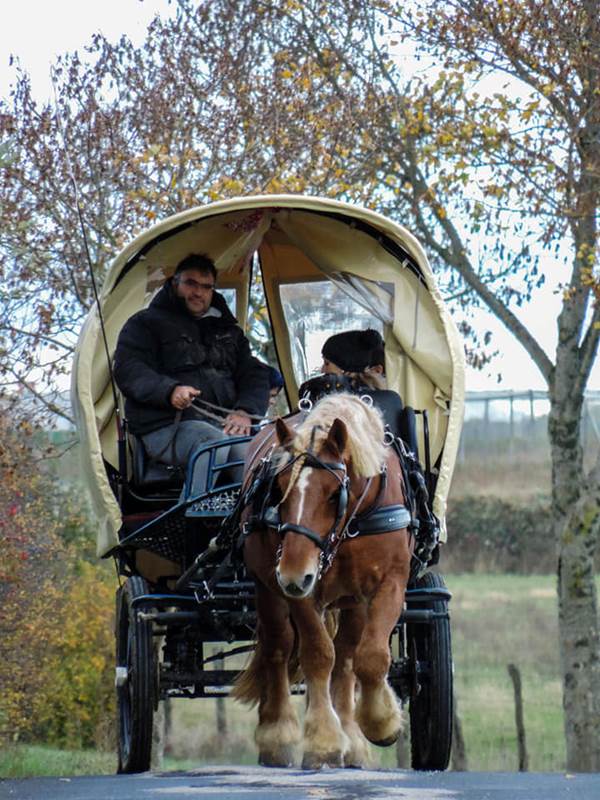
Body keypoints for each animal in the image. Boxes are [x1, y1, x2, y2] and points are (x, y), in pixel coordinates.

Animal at [232, 393, 414, 769]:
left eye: (333, 493)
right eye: (279, 488)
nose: (291, 574)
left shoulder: (390, 582)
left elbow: (370, 656)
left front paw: (380, 723)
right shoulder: (300, 589)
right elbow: (317, 654)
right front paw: (324, 742)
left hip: (350, 600)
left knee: (346, 657)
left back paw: (353, 738)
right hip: (267, 588)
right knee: (278, 646)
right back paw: (277, 734)